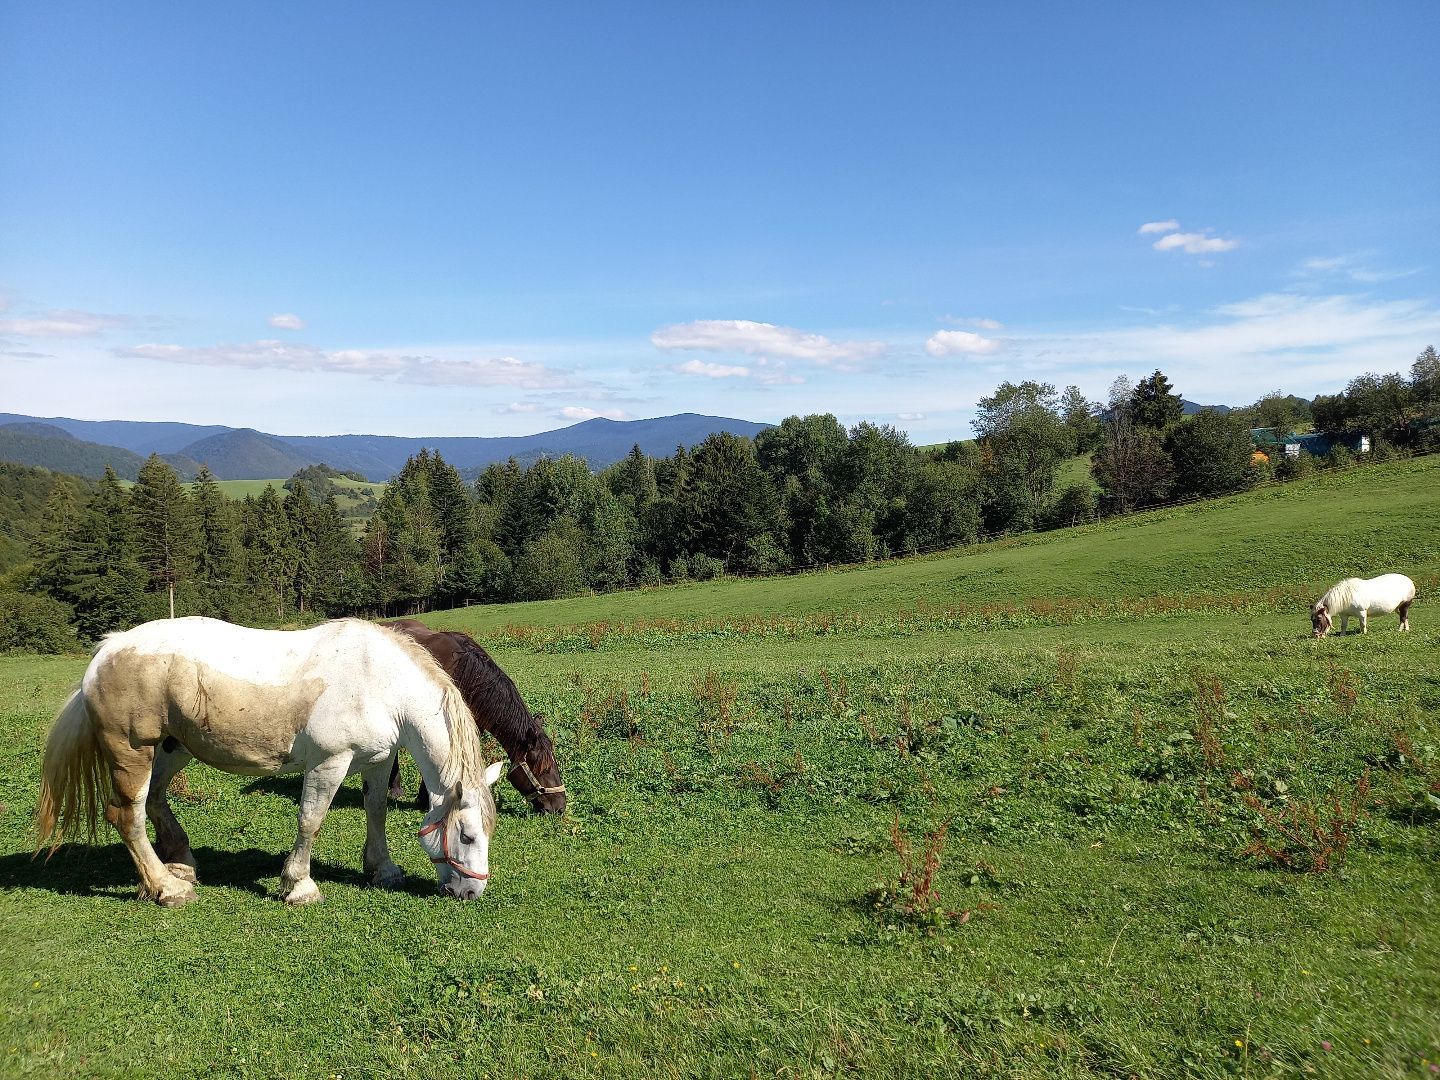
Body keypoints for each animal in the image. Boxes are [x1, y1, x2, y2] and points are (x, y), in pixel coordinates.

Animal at [36, 616, 506, 904]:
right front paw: (299, 886)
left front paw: (382, 870)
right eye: (466, 836)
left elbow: (377, 812)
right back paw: (167, 888)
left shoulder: (378, 761)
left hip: (171, 750)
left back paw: (181, 864)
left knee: (154, 802)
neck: (380, 681)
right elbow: (310, 821)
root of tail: (106, 652)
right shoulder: (329, 763)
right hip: (132, 752)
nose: (471, 893)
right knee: (127, 815)